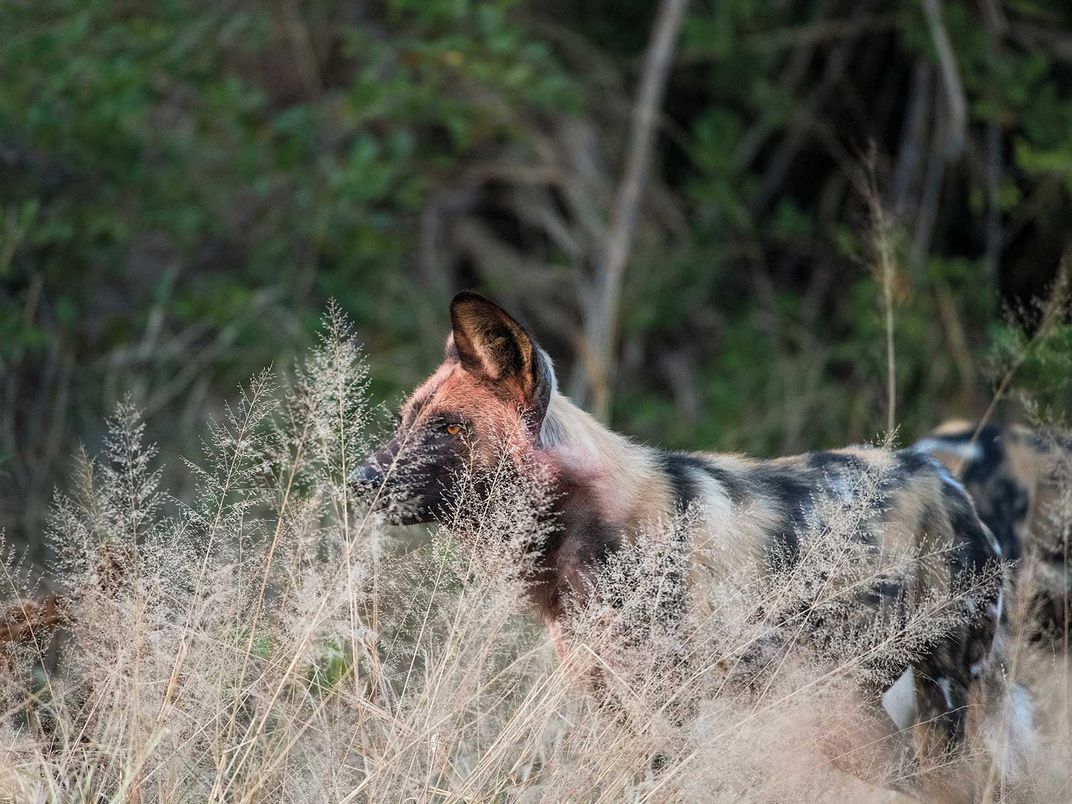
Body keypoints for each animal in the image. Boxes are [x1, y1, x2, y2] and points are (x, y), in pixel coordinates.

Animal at [358, 293, 1011, 793]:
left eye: (450, 428)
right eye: (405, 420)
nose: (362, 478)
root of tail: (945, 477)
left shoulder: (669, 712)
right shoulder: (615, 705)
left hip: (941, 698)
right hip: (850, 704)